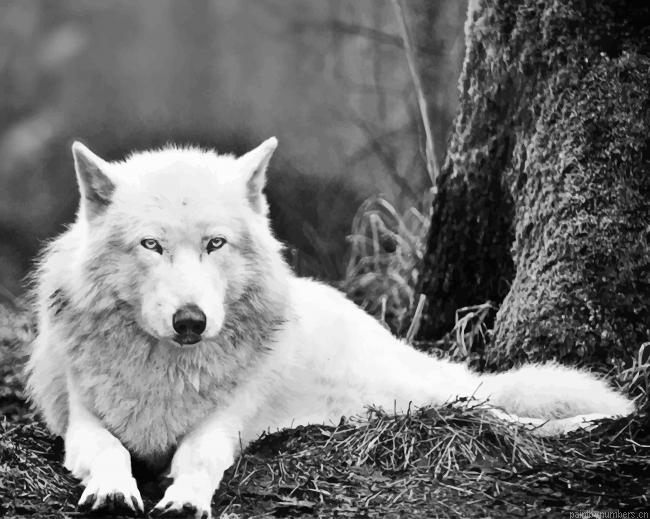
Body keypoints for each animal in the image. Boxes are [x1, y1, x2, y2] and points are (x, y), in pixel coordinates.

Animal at [26, 138, 633, 518]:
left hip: (410, 395)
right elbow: (110, 452)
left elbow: (197, 458)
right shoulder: (81, 424)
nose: (191, 321)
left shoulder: (223, 424)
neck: (166, 371)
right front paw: (113, 490)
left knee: (496, 410)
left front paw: (186, 499)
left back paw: (594, 421)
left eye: (215, 243)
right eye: (151, 245)